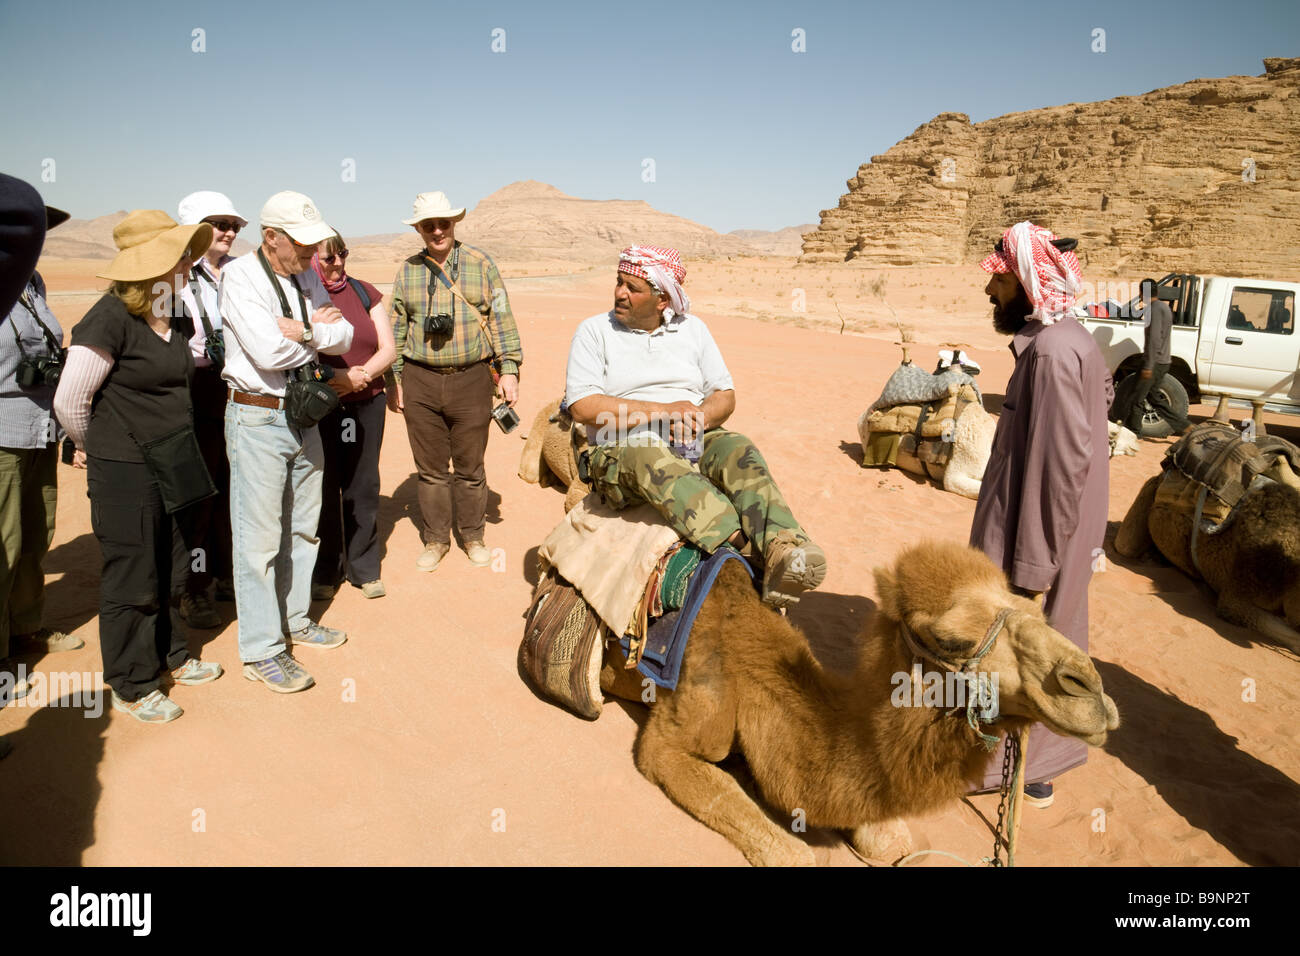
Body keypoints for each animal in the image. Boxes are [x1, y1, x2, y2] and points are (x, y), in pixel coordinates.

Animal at [598, 541, 1118, 863]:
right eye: (950, 640)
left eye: (1038, 611)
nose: (1088, 691)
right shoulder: (679, 730)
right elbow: (794, 854)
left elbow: (890, 842)